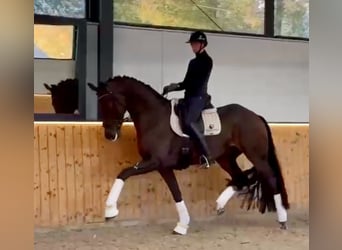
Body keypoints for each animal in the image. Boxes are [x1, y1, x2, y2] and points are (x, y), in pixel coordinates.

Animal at [87, 75, 290, 235]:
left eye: (109, 102)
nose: (109, 135)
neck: (154, 118)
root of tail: (255, 116)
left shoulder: (153, 162)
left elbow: (124, 173)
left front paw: (110, 211)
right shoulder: (163, 167)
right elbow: (176, 193)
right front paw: (182, 226)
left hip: (257, 156)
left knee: (270, 179)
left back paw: (282, 220)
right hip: (226, 158)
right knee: (241, 179)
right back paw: (219, 204)